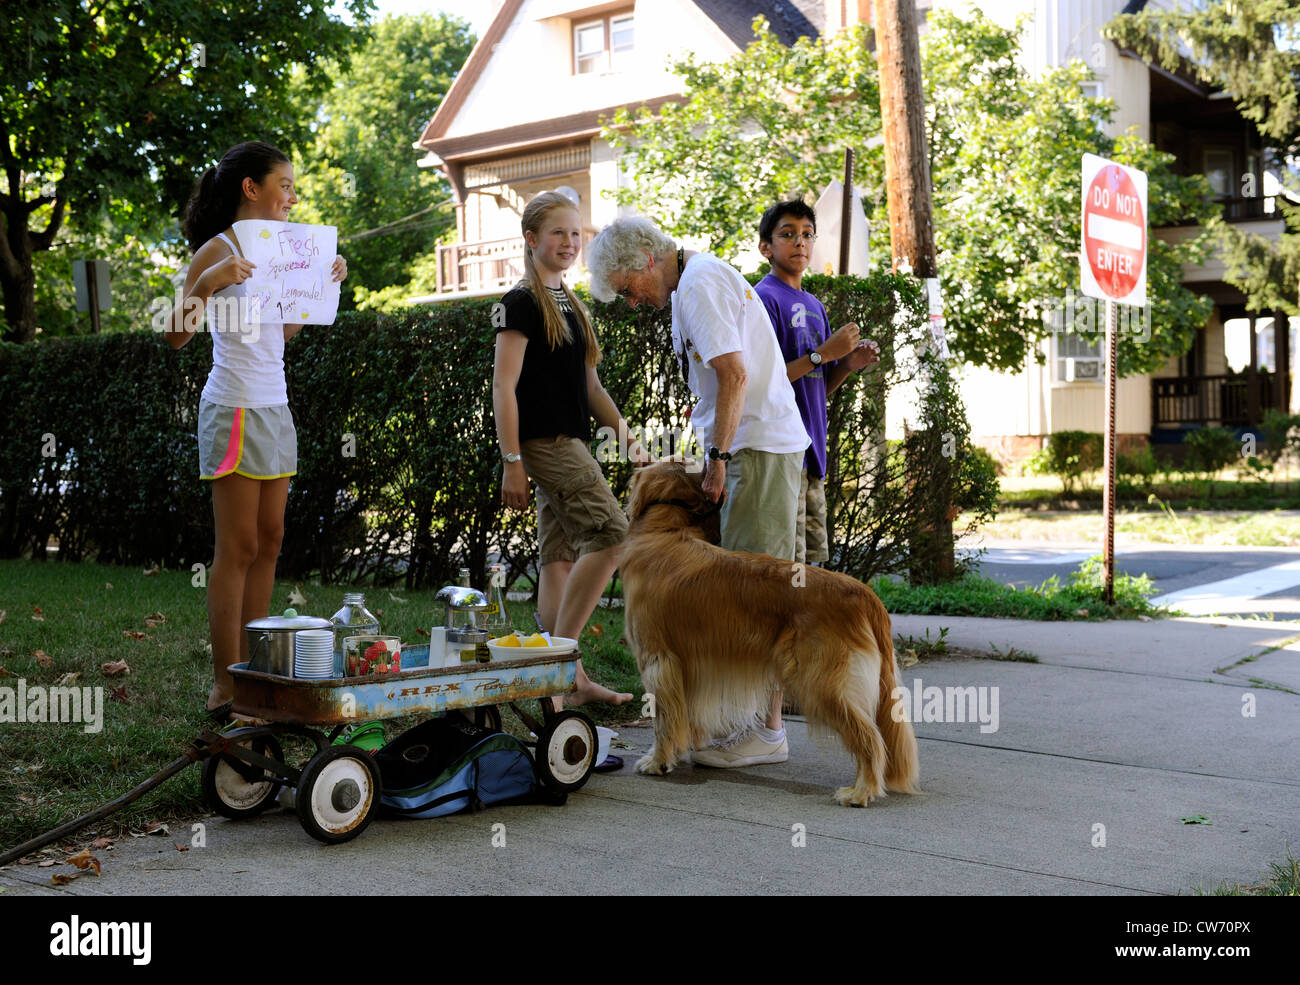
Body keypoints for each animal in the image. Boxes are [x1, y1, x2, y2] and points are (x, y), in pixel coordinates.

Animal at [624, 462, 920, 810]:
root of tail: (863, 592)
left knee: (870, 737)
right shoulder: (689, 668)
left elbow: (662, 719)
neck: (665, 531)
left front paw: (658, 760)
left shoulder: (658, 659)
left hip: (820, 682)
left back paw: (861, 791)